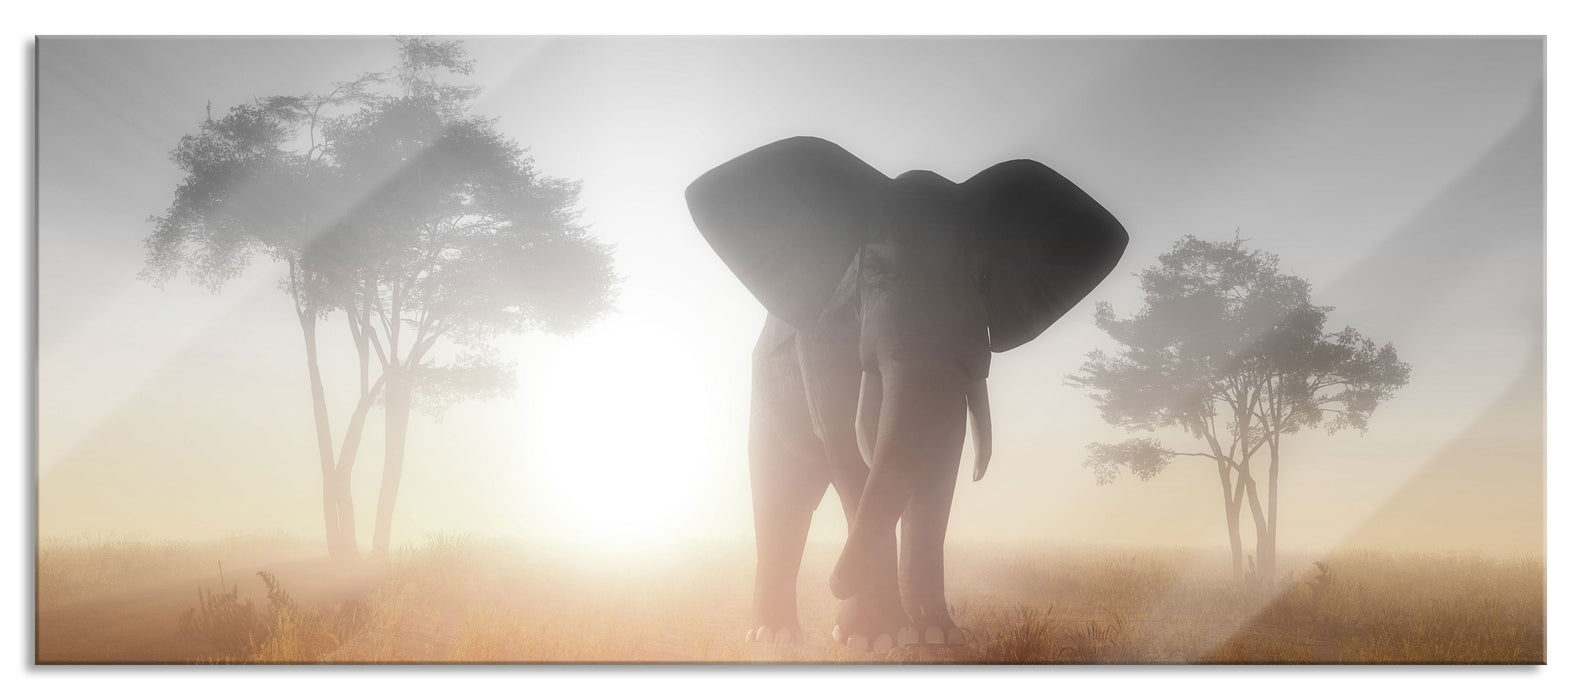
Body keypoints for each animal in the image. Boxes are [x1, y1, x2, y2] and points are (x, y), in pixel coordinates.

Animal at [685, 137, 1127, 652]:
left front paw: (937, 636)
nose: (835, 585)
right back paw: (772, 636)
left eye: (984, 278)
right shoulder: (824, 333)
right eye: (873, 269)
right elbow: (849, 445)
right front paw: (871, 640)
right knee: (782, 491)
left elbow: (940, 450)